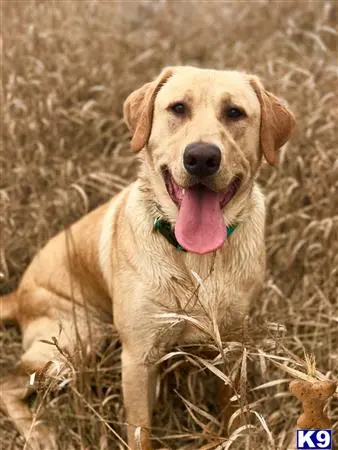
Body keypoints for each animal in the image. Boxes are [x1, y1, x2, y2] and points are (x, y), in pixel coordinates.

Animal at [0, 65, 294, 448]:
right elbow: (140, 431)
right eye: (178, 108)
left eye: (234, 113)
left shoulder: (231, 346)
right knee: (9, 382)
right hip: (74, 340)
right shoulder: (138, 359)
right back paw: (40, 433)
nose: (202, 158)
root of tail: (18, 294)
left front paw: (239, 438)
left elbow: (234, 411)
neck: (194, 258)